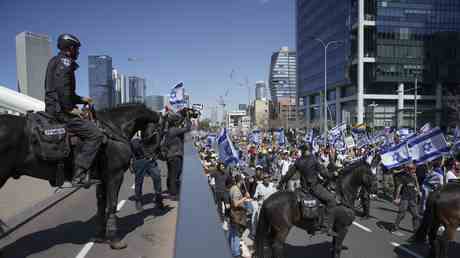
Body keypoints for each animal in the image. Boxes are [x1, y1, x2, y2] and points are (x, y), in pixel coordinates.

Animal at [0, 104, 160, 249]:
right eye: (160, 130)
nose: (150, 156)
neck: (115, 129)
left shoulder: (103, 179)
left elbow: (101, 205)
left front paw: (100, 235)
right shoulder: (115, 175)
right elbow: (112, 204)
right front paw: (114, 239)